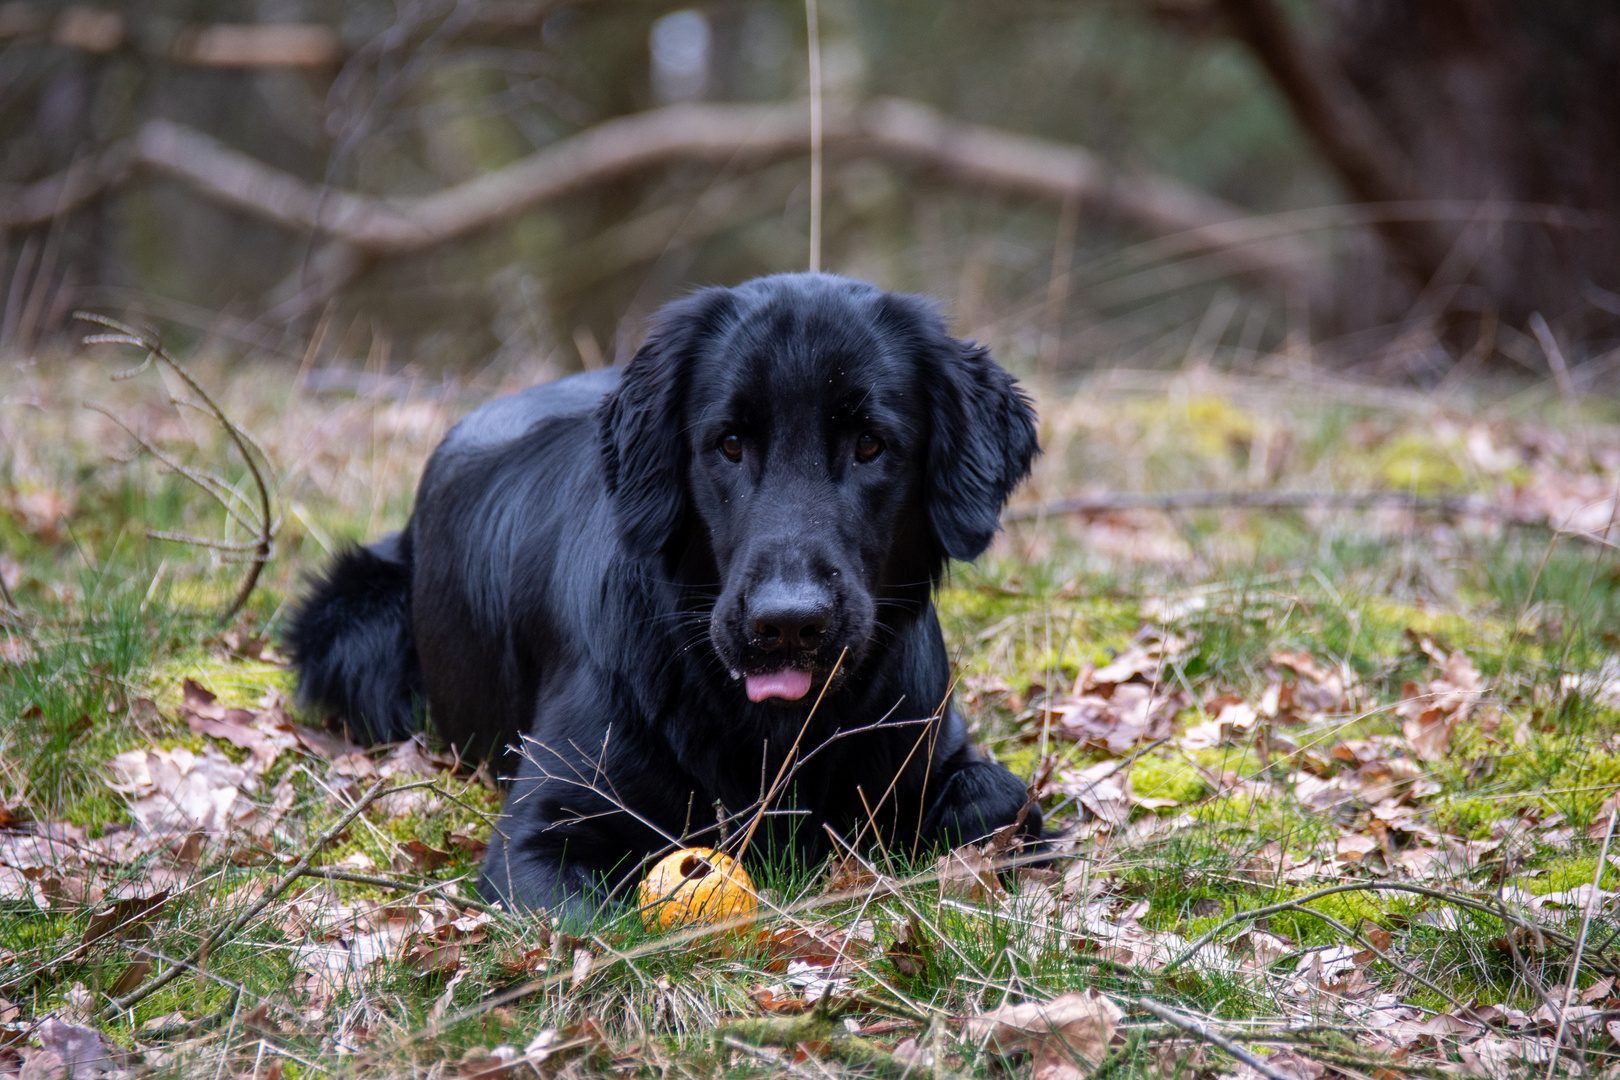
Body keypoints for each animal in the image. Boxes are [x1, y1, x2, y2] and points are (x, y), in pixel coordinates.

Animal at [286, 272, 1043, 913]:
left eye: (870, 445)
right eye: (729, 444)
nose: (788, 624)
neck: (774, 734)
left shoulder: (935, 751)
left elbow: (1003, 800)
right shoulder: (542, 833)